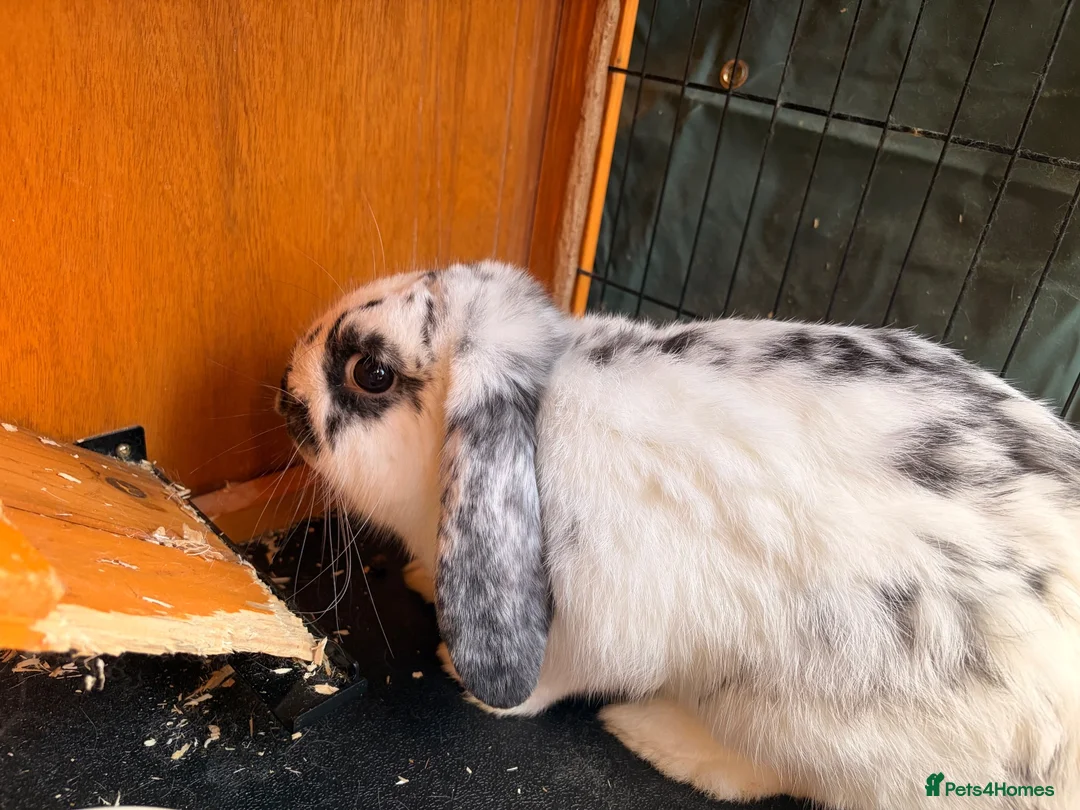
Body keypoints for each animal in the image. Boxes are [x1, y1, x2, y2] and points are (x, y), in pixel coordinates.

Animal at [276, 260, 1080, 810]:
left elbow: (551, 681)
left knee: (779, 776)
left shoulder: (592, 625)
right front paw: (420, 580)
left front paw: (468, 681)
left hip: (808, 722)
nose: (283, 394)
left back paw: (656, 735)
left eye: (372, 372)